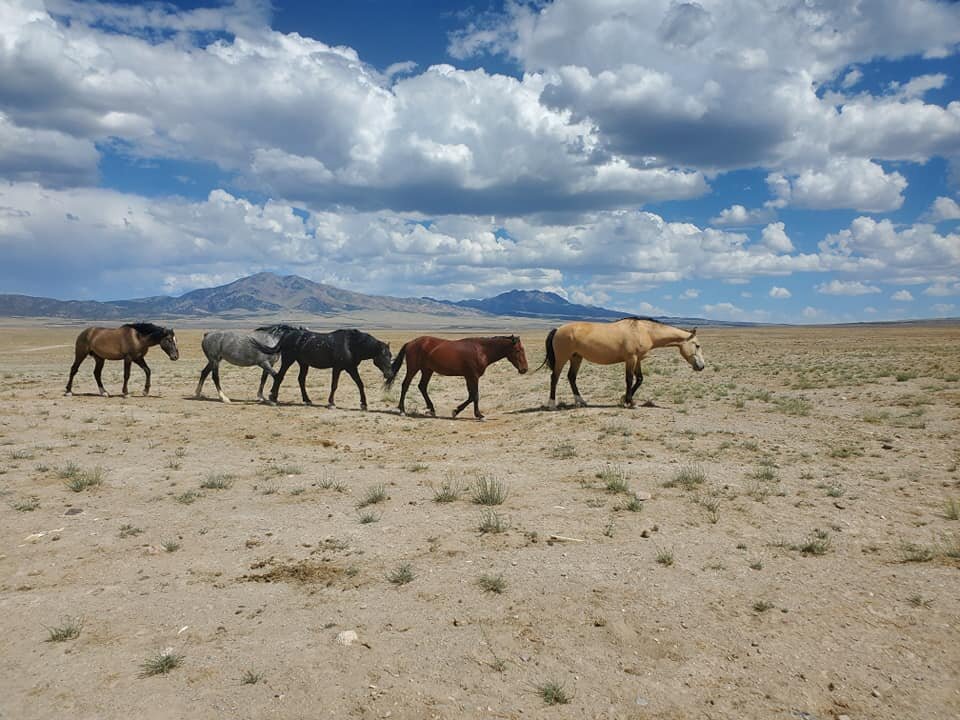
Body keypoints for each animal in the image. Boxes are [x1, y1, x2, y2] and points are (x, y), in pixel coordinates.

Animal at [385, 335, 528, 419]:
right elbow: (475, 395)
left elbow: (471, 396)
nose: (524, 369)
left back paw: (431, 410)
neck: (481, 350)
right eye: (518, 351)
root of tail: (410, 343)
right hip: (413, 369)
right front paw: (478, 415)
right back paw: (402, 410)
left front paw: (456, 411)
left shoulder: (468, 376)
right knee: (405, 385)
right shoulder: (473, 376)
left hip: (427, 370)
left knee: (422, 387)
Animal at [543, 317, 705, 409]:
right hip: (562, 358)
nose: (702, 366)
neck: (644, 331)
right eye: (697, 345)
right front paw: (630, 402)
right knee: (554, 378)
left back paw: (581, 401)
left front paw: (624, 399)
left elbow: (639, 379)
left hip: (576, 357)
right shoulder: (631, 359)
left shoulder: (638, 359)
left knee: (571, 377)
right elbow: (629, 379)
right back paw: (552, 405)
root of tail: (557, 329)